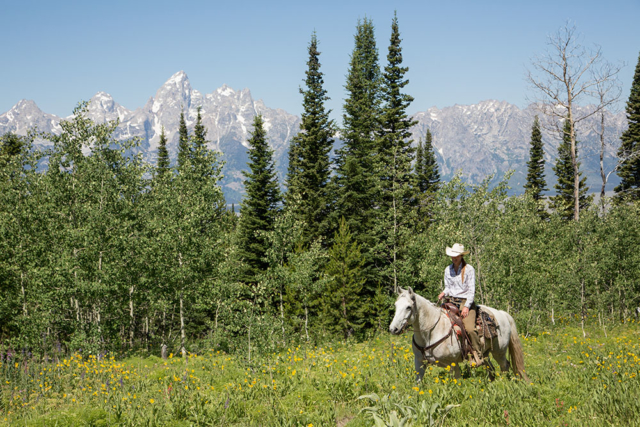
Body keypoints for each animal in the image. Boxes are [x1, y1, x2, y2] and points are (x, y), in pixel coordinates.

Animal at [389, 287, 529, 382]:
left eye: (408, 307)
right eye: (395, 305)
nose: (393, 329)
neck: (431, 332)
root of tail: (502, 313)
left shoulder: (452, 363)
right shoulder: (419, 362)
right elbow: (418, 383)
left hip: (499, 352)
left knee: (505, 366)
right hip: (486, 353)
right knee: (491, 368)